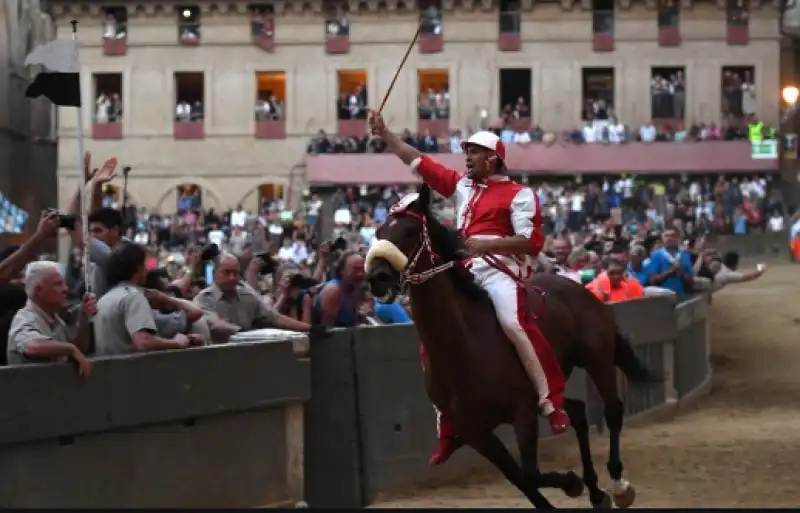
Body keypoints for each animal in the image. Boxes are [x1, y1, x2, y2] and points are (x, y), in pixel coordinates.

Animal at [366, 184, 660, 508]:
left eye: (409, 231)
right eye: (378, 230)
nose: (376, 277)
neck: (464, 347)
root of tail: (580, 290)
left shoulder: (523, 412)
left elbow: (530, 474)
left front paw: (572, 483)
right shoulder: (477, 433)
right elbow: (520, 479)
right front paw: (574, 484)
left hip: (597, 360)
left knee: (612, 411)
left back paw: (618, 485)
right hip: (552, 387)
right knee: (578, 412)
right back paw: (595, 491)